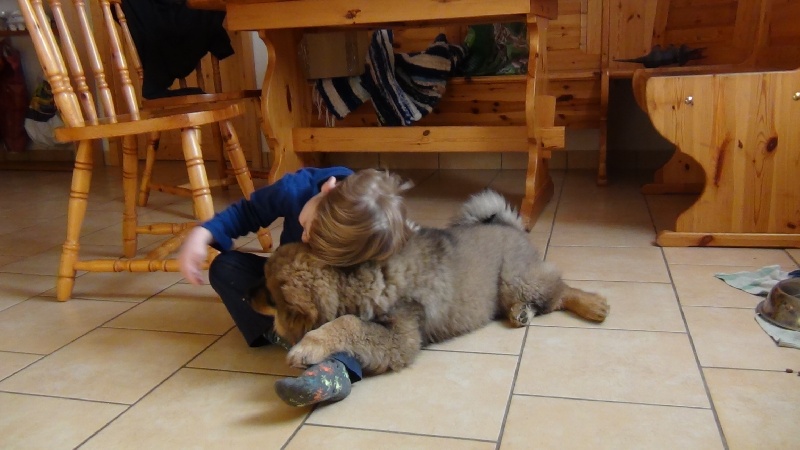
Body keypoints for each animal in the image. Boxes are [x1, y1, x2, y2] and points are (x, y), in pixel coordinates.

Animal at [251, 191, 609, 375]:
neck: (357, 277)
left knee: (559, 289)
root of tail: (509, 224)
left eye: (270, 295)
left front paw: (306, 346)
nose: (245, 297)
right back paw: (521, 312)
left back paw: (594, 305)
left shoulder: (401, 337)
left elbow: (347, 324)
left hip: (516, 278)